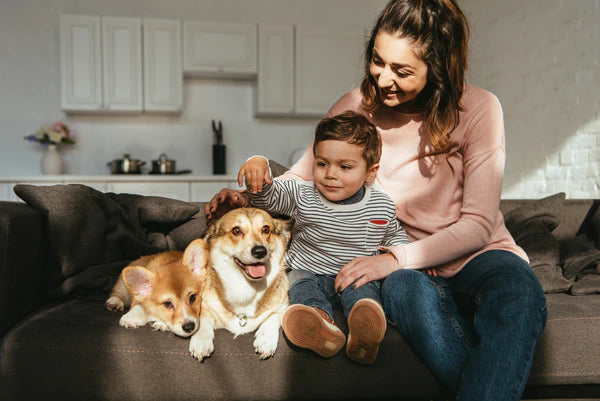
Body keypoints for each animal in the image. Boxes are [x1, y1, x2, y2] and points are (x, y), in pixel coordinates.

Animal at [188, 206, 290, 360]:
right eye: (236, 231)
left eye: (266, 229)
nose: (260, 251)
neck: (245, 287)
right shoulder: (206, 306)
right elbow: (203, 317)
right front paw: (201, 340)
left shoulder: (284, 307)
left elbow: (274, 317)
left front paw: (266, 339)